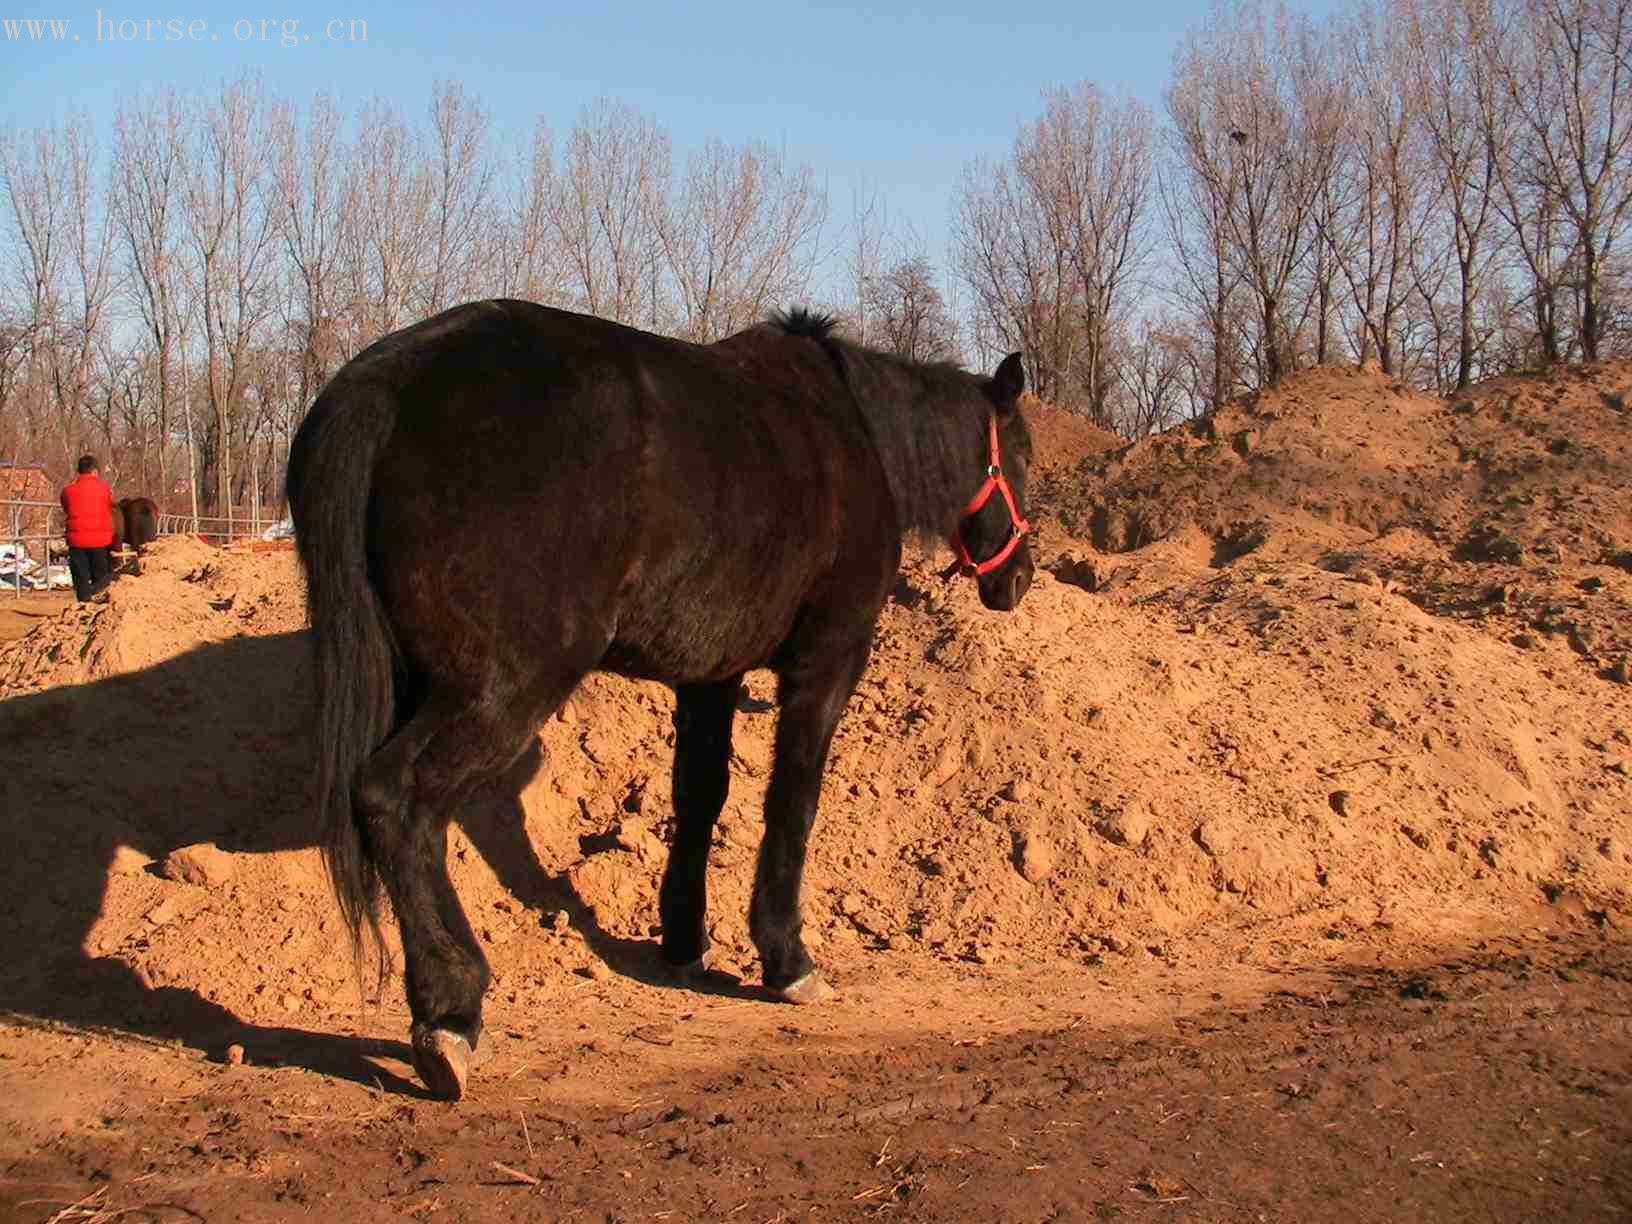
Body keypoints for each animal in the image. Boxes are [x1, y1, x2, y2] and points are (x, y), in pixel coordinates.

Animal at [287, 300, 1031, 1103]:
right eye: (1022, 456)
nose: (1018, 578)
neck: (856, 431)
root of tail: (387, 384)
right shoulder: (825, 663)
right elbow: (792, 802)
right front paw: (787, 960)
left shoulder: (711, 675)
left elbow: (700, 797)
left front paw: (683, 940)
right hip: (505, 687)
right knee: (396, 797)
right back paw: (450, 1012)